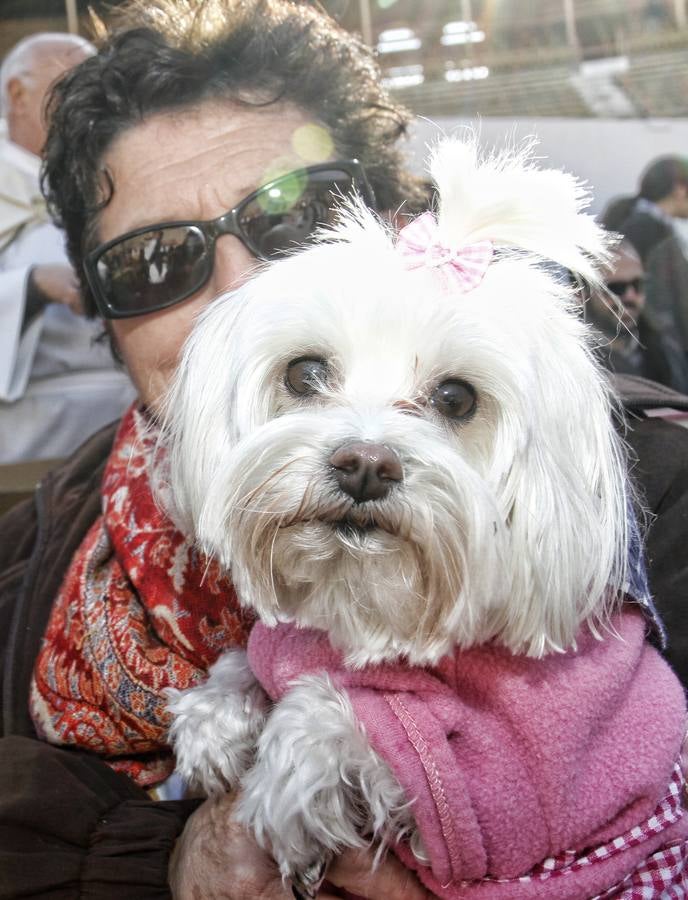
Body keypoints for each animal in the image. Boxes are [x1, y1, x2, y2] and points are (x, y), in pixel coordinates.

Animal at [163, 141, 688, 900]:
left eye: (456, 398)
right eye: (305, 373)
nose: (364, 465)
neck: (372, 605)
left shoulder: (512, 799)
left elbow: (354, 718)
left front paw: (286, 783)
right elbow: (248, 663)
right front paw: (215, 719)